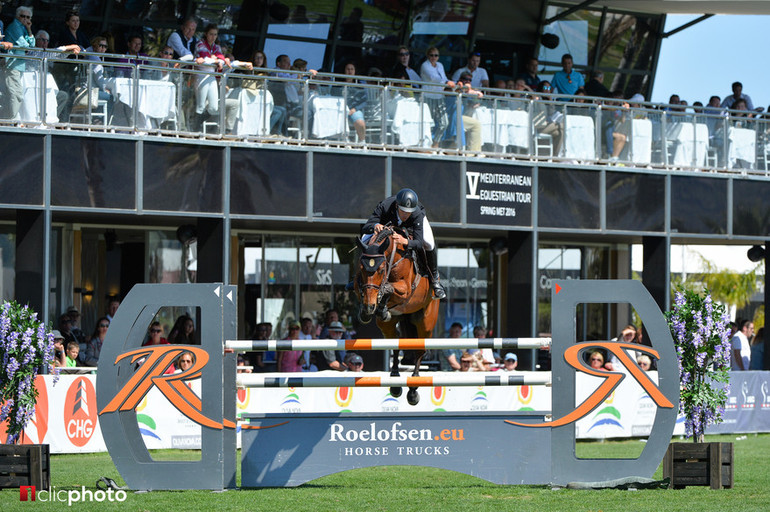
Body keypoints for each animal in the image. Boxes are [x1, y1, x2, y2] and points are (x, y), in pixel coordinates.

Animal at [354, 226, 438, 406]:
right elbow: (364, 289)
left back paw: (413, 389)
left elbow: (388, 288)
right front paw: (366, 312)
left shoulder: (405, 289)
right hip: (392, 325)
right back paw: (394, 381)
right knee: (395, 344)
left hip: (425, 323)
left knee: (419, 351)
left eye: (381, 269)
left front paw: (379, 305)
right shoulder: (359, 284)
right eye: (363, 269)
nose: (370, 306)